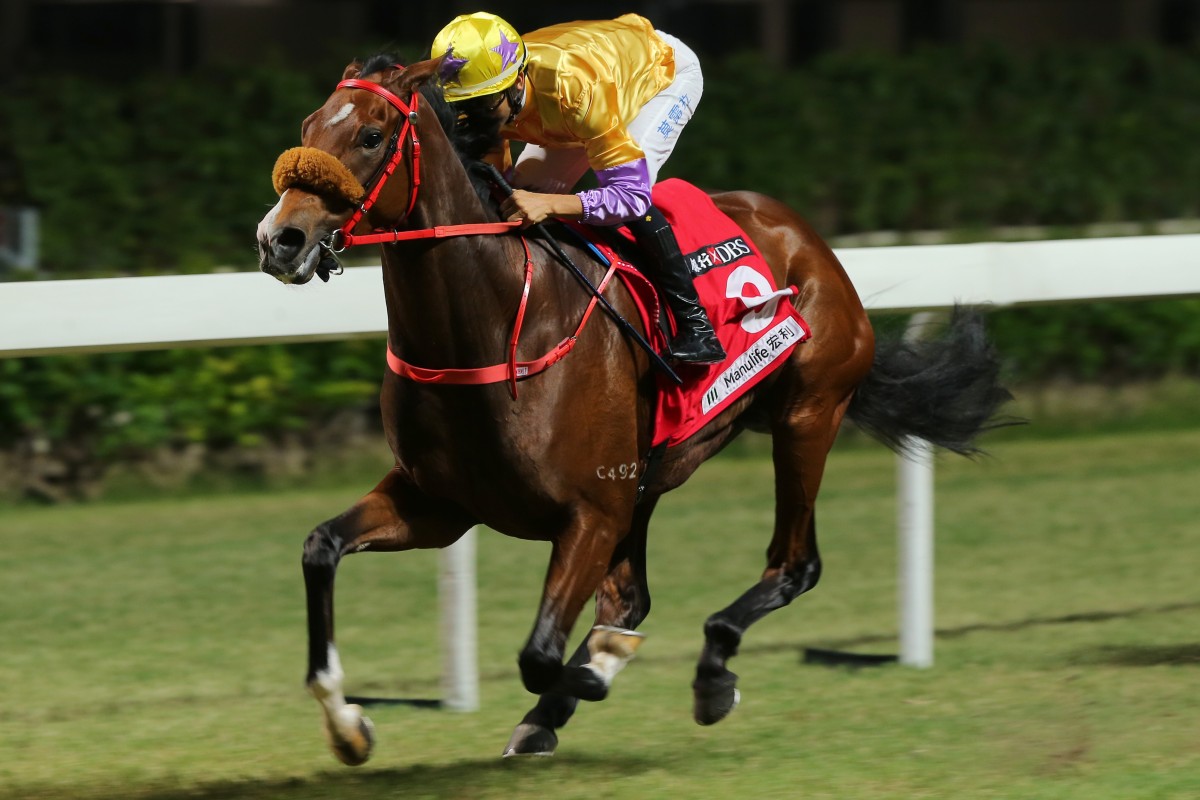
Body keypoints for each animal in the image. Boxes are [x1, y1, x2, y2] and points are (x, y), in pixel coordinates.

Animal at [255, 53, 1012, 767]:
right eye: (308, 129)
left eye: (371, 136)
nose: (279, 239)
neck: (495, 325)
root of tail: (809, 240)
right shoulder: (440, 503)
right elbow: (320, 548)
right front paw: (348, 727)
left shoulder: (590, 514)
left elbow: (539, 655)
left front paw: (600, 666)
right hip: (646, 478)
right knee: (632, 595)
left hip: (806, 415)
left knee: (793, 564)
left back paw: (708, 670)